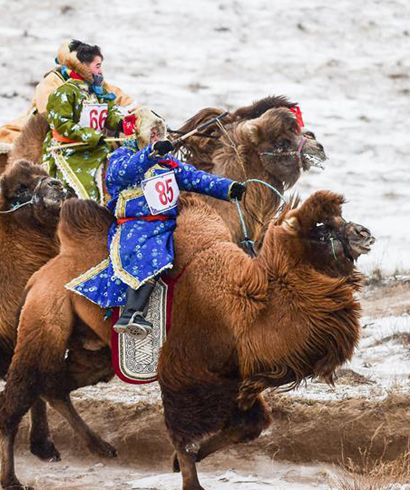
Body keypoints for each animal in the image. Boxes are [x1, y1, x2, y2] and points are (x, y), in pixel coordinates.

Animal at [0, 189, 374, 490]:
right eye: (322, 227)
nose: (365, 233)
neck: (246, 308)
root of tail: (45, 272)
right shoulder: (183, 375)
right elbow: (184, 436)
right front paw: (189, 477)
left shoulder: (233, 381)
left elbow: (248, 427)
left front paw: (177, 464)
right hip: (45, 320)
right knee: (19, 396)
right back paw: (14, 478)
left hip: (97, 353)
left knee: (54, 385)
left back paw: (95, 447)